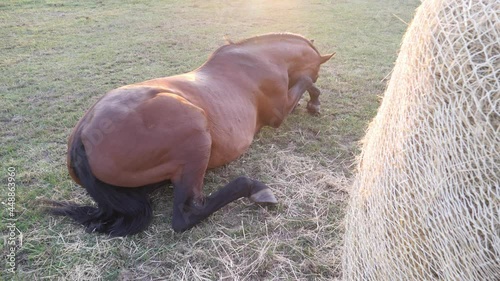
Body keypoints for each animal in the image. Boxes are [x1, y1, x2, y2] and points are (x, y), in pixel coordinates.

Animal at [48, 32, 334, 236]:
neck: (262, 58)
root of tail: (83, 135)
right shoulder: (279, 113)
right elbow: (307, 81)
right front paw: (315, 103)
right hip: (196, 137)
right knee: (187, 214)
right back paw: (256, 189)